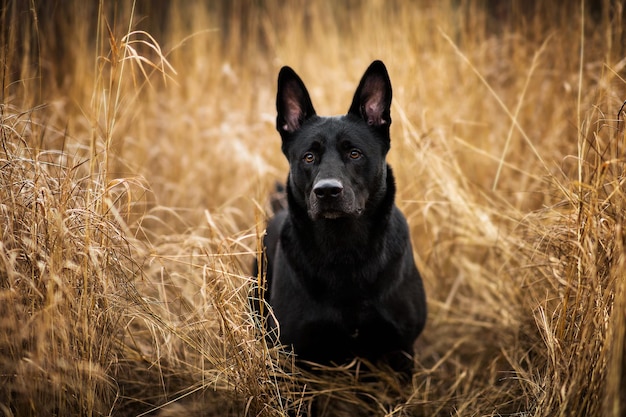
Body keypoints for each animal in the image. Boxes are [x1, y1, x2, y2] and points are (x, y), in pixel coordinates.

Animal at [254, 60, 424, 372]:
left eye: (355, 154)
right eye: (309, 157)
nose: (327, 191)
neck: (344, 249)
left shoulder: (401, 351)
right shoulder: (293, 355)